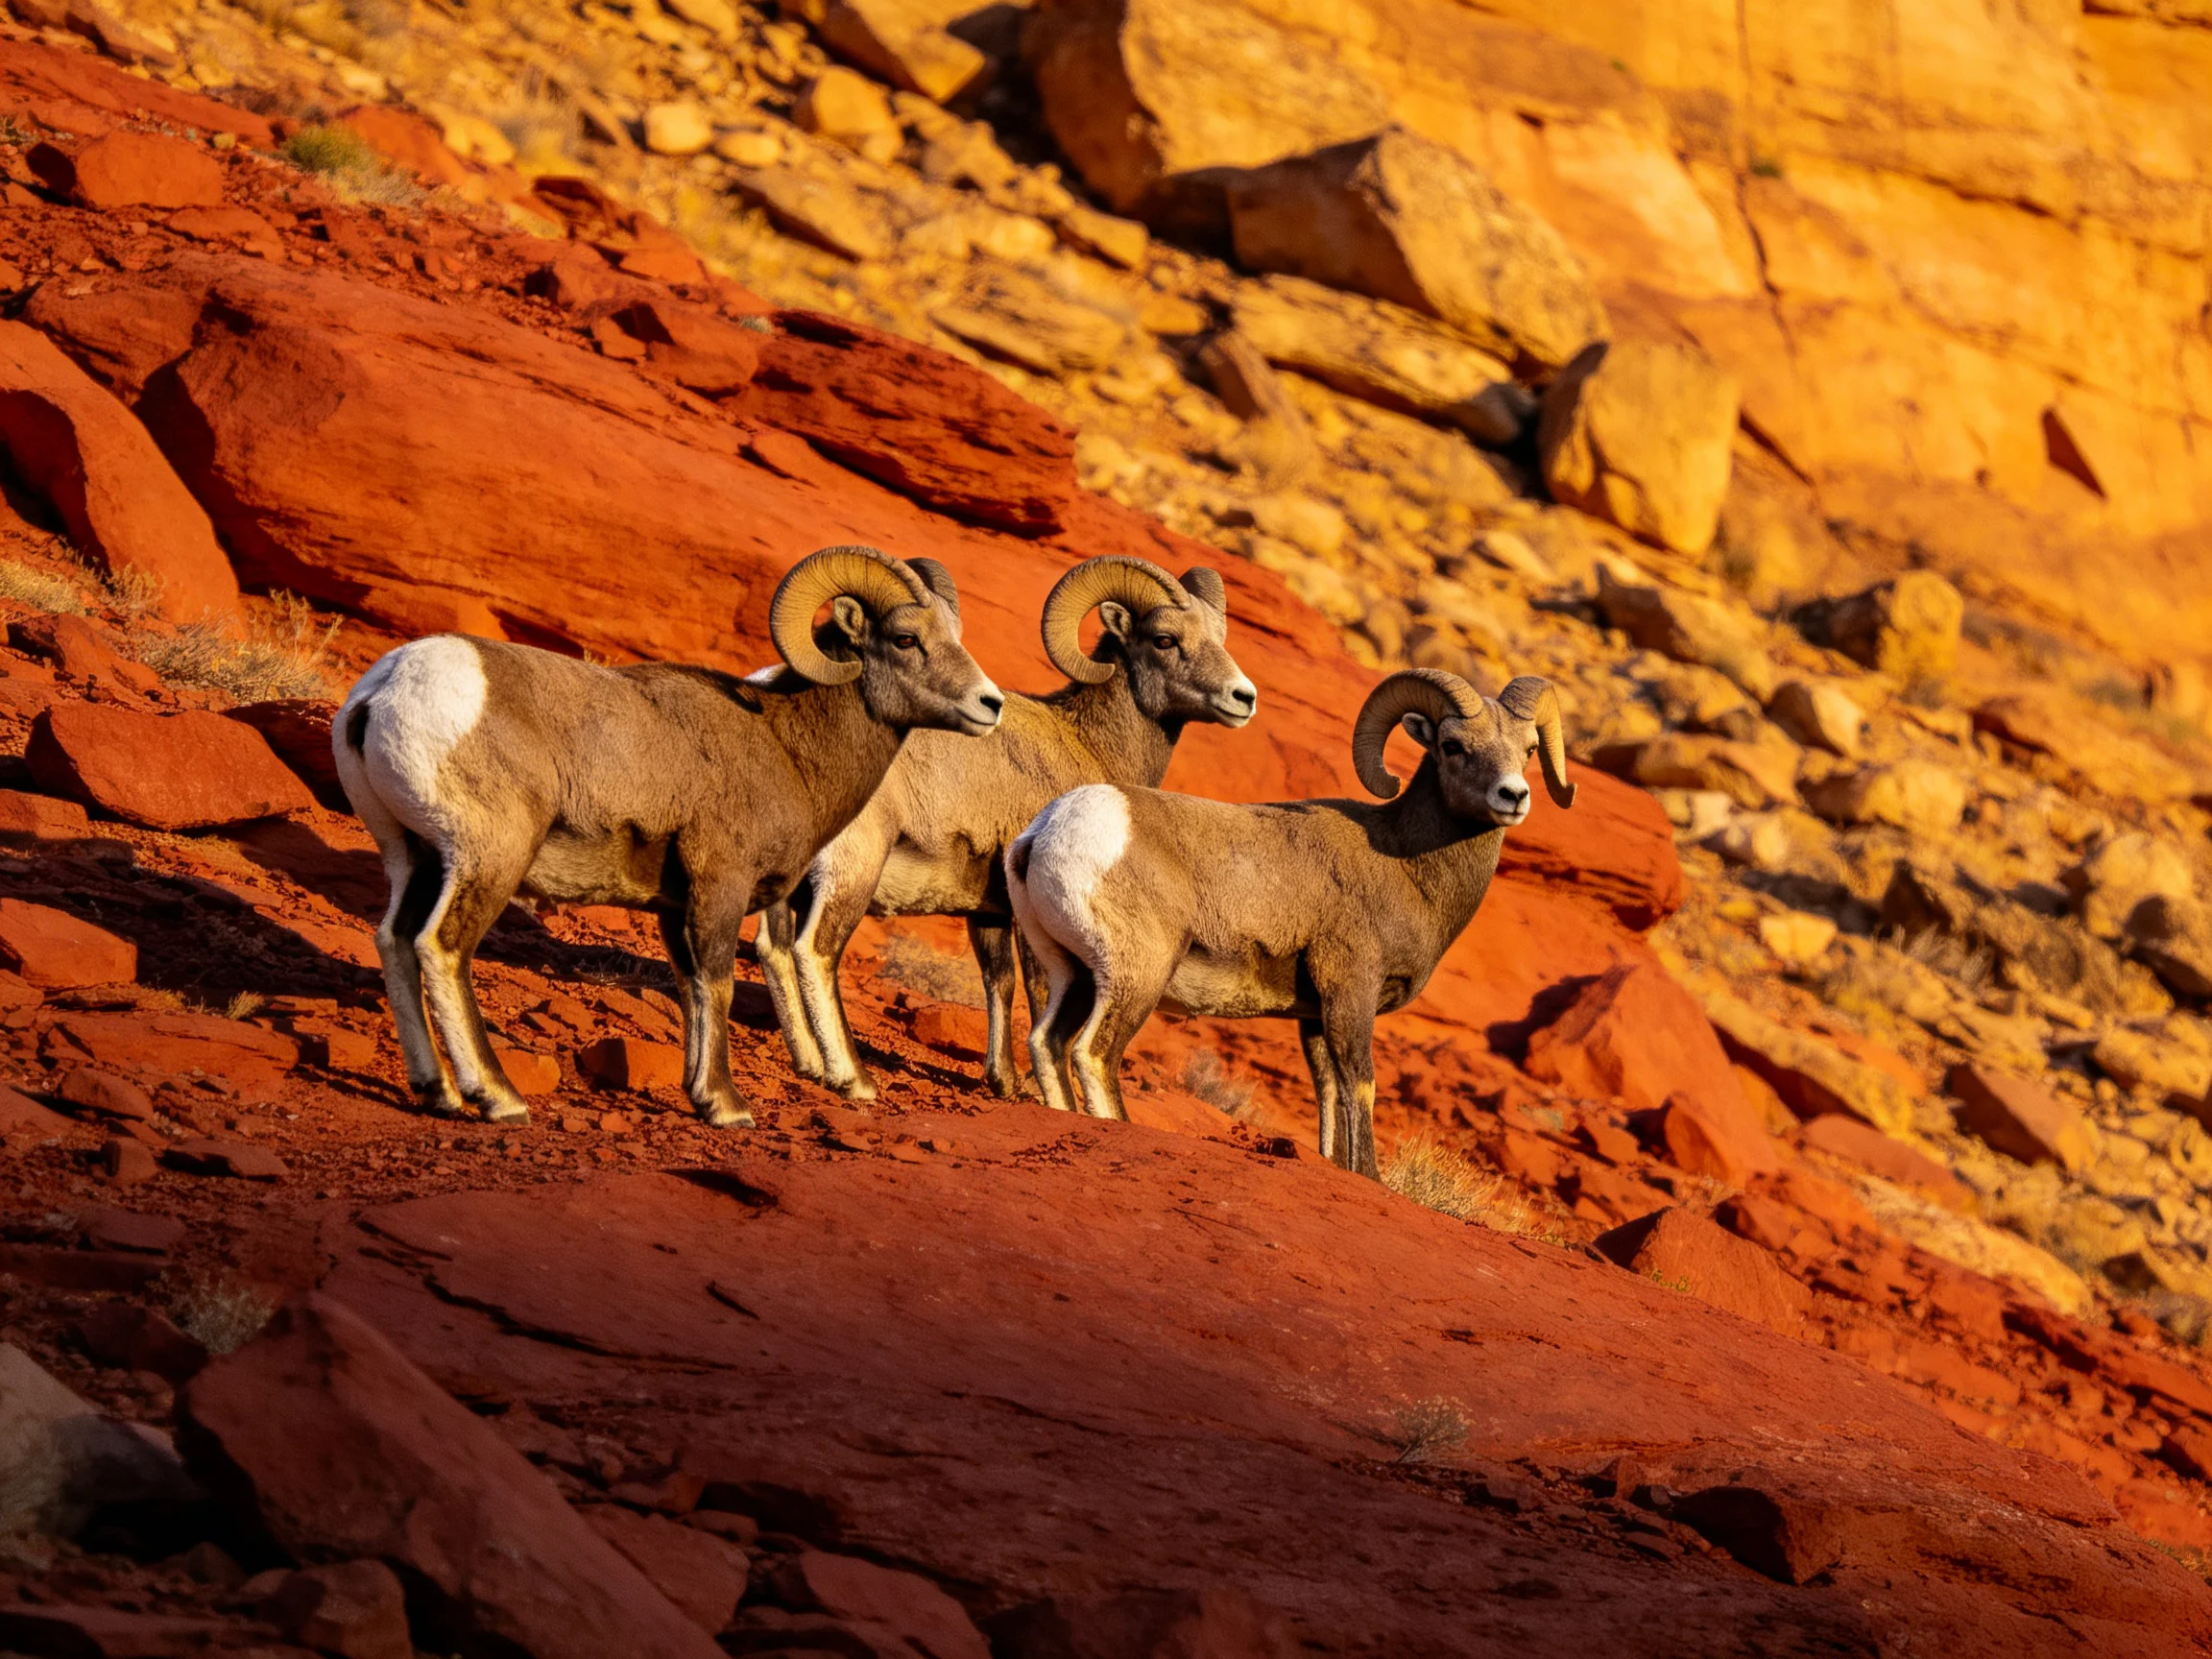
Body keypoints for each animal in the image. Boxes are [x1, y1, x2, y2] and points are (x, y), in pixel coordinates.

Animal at [332, 545, 1004, 1129]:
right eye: (906, 639)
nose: (990, 704)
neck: (786, 748)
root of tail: (381, 693)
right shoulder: (720, 886)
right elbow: (720, 986)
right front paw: (729, 1108)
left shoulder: (673, 906)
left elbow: (692, 990)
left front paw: (701, 1097)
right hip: (487, 859)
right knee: (441, 948)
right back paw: (498, 1098)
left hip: (413, 859)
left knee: (394, 941)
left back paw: (437, 1092)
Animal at [757, 555, 1257, 1100]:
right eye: (1165, 639)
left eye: (1220, 636)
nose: (1243, 697)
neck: (1088, 743)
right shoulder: (1028, 917)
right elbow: (1039, 993)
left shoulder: (988, 910)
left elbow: (998, 981)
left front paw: (1003, 1081)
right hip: (853, 867)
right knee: (814, 950)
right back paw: (852, 1080)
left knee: (773, 948)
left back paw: (808, 1062)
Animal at [1004, 668, 1574, 1177]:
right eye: (1453, 746)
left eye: (1527, 749)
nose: (1513, 796)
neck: (1404, 862)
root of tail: (1045, 832)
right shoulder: (1351, 990)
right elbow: (1359, 1083)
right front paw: (1370, 1178)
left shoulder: (1314, 1016)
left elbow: (1328, 1090)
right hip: (1136, 974)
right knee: (1094, 1054)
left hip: (1072, 973)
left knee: (1047, 1043)